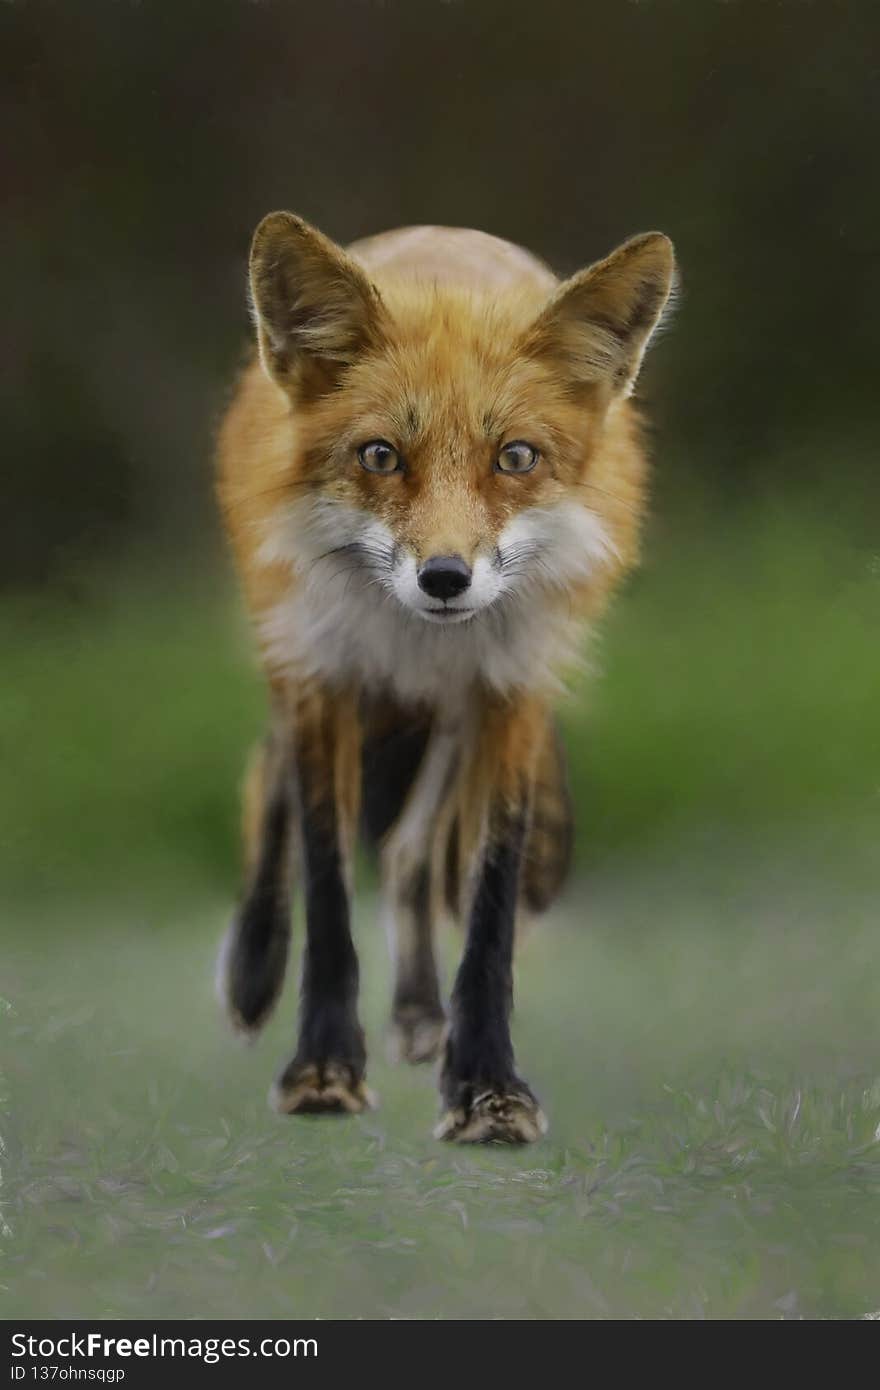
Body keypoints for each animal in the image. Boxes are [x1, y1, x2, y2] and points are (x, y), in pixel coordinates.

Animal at [215, 213, 675, 1142]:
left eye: (516, 458)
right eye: (381, 455)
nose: (445, 579)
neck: (414, 640)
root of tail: (438, 231)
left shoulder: (511, 692)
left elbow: (489, 902)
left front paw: (487, 1086)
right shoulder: (323, 674)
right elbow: (325, 886)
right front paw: (323, 1068)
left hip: (455, 719)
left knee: (407, 850)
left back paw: (420, 1010)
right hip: (291, 652)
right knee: (269, 781)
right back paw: (252, 971)